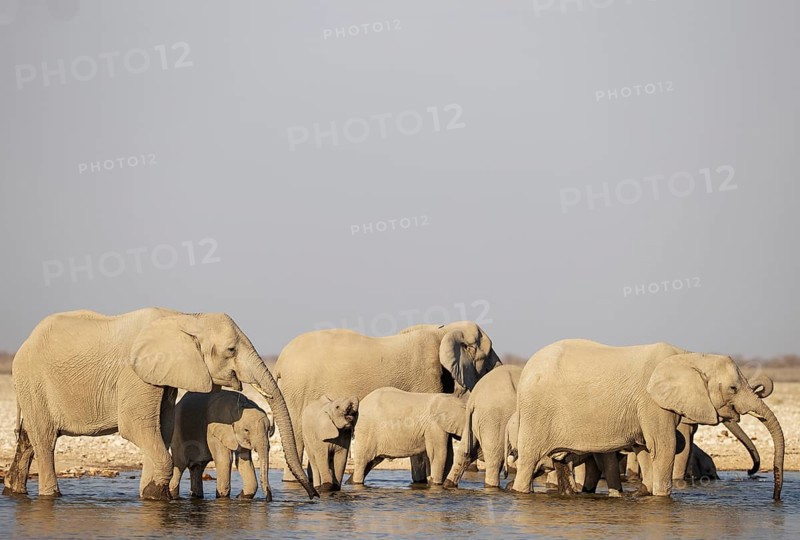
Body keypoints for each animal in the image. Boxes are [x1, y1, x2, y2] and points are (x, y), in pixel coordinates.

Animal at [2, 308, 317, 500]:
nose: (314, 496)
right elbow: (136, 427)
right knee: (45, 440)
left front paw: (148, 495)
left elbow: (161, 431)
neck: (185, 318)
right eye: (230, 350)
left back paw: (14, 490)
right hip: (32, 379)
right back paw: (50, 496)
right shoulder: (135, 374)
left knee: (29, 438)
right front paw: (155, 497)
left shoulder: (165, 378)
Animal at [274, 321, 501, 483]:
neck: (446, 330)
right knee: (297, 435)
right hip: (297, 390)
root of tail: (280, 360)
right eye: (489, 354)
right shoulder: (426, 376)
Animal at [511, 339, 784, 500]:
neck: (690, 356)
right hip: (536, 413)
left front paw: (648, 494)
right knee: (529, 461)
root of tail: (527, 368)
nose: (776, 498)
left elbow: (646, 448)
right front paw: (662, 498)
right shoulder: (651, 401)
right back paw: (520, 493)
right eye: (733, 388)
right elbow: (664, 447)